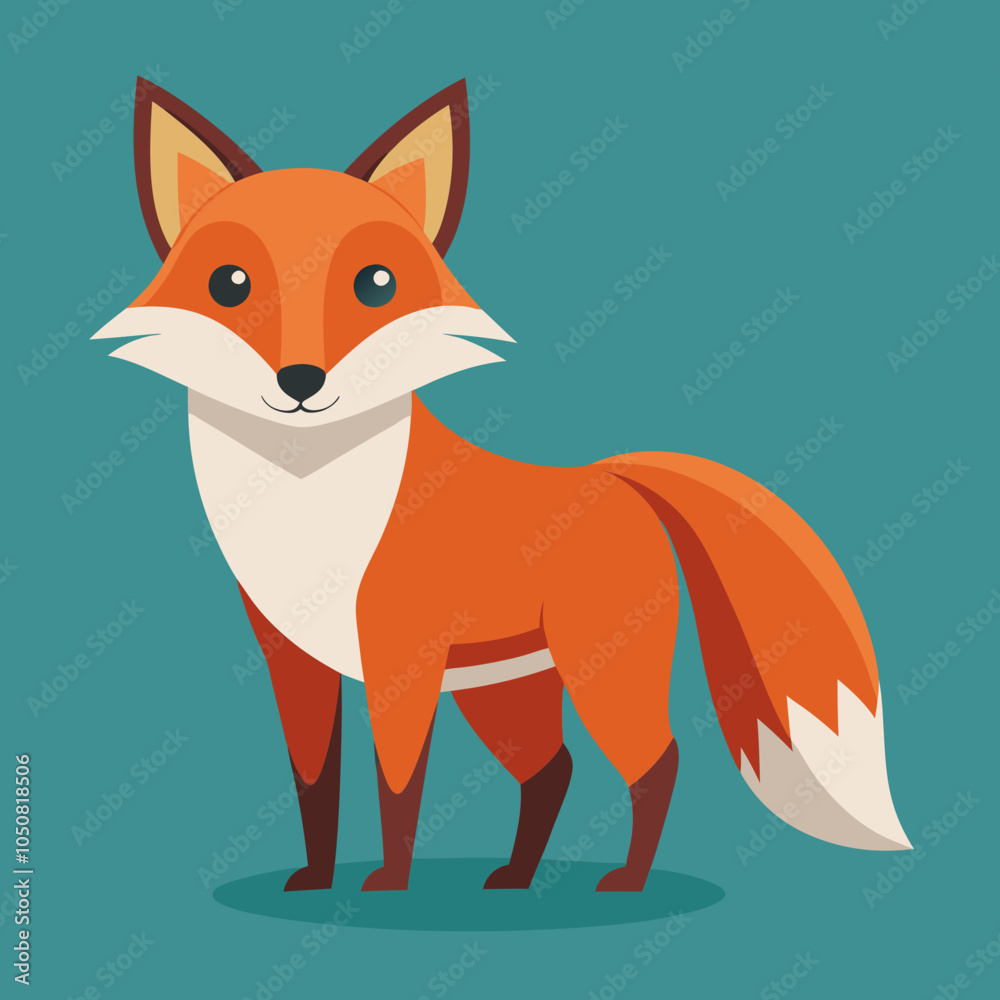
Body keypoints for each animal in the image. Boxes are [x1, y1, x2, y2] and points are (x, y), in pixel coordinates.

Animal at [93, 77, 911, 894]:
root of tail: (619, 476)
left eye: (376, 284)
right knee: (554, 769)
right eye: (230, 284)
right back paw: (518, 876)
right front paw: (318, 882)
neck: (309, 492)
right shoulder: (294, 660)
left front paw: (389, 887)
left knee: (656, 762)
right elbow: (314, 783)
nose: (301, 381)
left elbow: (397, 782)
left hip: (596, 672)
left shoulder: (401, 661)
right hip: (504, 692)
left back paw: (628, 881)